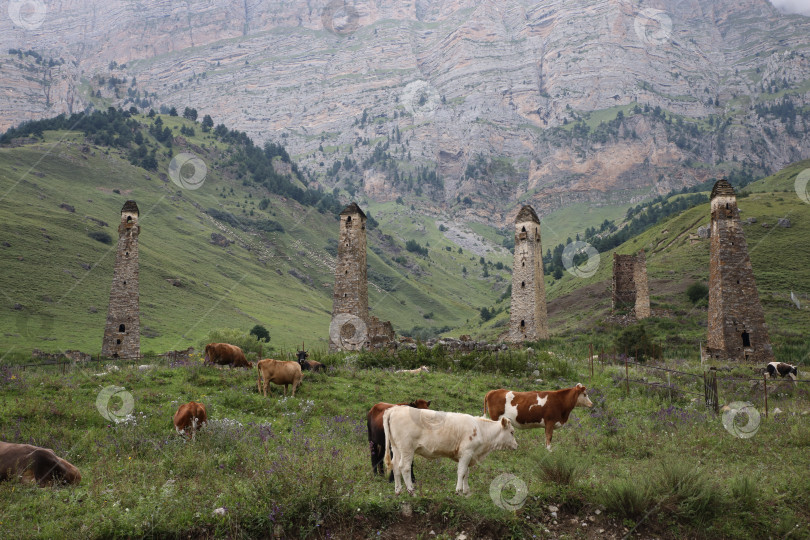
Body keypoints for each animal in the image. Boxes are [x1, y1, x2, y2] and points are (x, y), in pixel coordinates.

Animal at [380, 404, 516, 498]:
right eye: (512, 432)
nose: (516, 445)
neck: (480, 430)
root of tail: (395, 409)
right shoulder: (467, 452)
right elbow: (461, 472)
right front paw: (458, 491)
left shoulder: (469, 455)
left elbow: (466, 473)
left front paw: (466, 492)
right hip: (407, 448)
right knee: (405, 467)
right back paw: (412, 492)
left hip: (396, 447)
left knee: (395, 466)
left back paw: (398, 491)